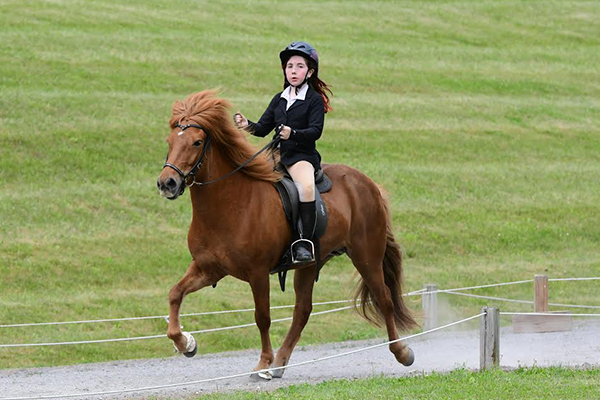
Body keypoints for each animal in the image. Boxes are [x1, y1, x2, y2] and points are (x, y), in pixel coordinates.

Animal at [157, 90, 414, 378]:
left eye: (197, 142)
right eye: (169, 141)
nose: (167, 183)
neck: (229, 204)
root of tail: (368, 184)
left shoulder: (257, 273)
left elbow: (262, 317)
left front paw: (262, 364)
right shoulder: (208, 268)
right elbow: (175, 293)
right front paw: (186, 343)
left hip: (366, 256)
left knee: (384, 299)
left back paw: (402, 352)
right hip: (310, 264)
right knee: (303, 311)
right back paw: (280, 362)